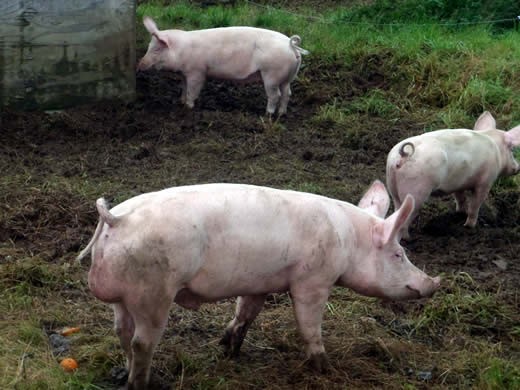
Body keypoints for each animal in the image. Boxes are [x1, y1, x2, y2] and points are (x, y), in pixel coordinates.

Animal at [77, 181, 440, 388]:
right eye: (398, 254)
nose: (433, 284)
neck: (348, 241)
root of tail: (117, 219)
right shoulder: (312, 279)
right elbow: (309, 324)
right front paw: (324, 367)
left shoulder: (259, 283)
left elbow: (246, 313)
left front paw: (229, 349)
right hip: (153, 291)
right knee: (141, 342)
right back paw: (144, 383)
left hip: (123, 295)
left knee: (121, 332)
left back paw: (127, 371)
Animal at [138, 17, 308, 115]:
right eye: (149, 46)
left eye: (157, 49)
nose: (139, 64)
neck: (181, 50)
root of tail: (291, 45)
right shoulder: (184, 74)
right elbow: (184, 87)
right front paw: (180, 102)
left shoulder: (197, 72)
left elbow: (193, 89)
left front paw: (188, 107)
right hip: (286, 77)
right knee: (287, 93)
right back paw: (281, 114)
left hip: (271, 75)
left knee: (275, 95)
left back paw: (268, 115)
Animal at [386, 110, 520, 238]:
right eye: (511, 149)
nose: (517, 168)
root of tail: (403, 156)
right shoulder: (485, 182)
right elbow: (475, 205)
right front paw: (469, 226)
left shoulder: (458, 183)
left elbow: (460, 198)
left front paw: (460, 213)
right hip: (416, 191)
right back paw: (408, 238)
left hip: (392, 186)